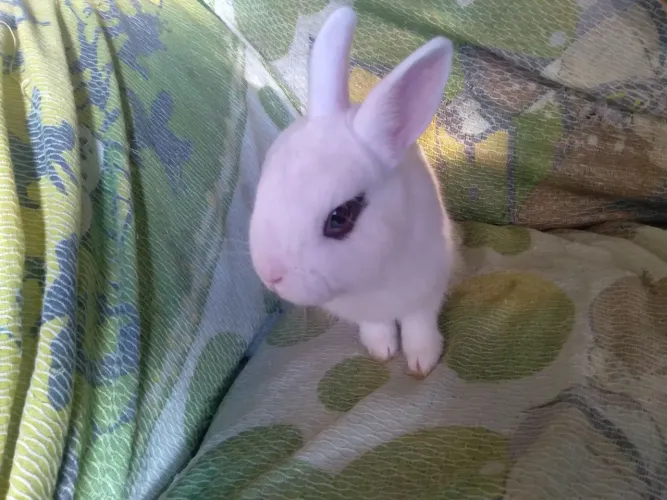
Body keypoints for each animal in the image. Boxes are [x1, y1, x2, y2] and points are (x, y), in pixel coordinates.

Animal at [249, 6, 458, 378]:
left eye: (340, 217)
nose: (270, 274)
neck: (372, 277)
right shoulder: (364, 311)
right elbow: (377, 326)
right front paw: (382, 350)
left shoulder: (428, 288)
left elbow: (418, 324)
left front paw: (423, 361)